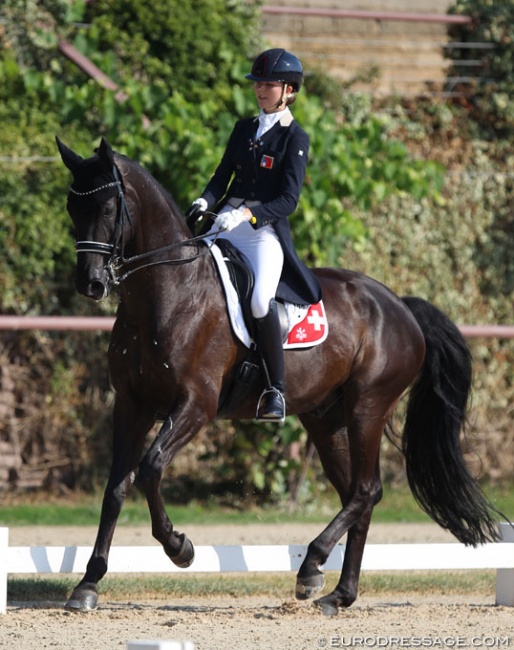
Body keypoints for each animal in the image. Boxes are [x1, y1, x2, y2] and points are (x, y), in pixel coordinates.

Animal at [56, 135, 500, 612]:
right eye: (71, 206)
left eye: (107, 208)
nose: (91, 283)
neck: (169, 293)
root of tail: (400, 305)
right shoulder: (131, 405)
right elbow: (116, 488)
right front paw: (88, 584)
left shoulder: (195, 406)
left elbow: (151, 468)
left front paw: (180, 548)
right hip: (326, 419)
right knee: (357, 494)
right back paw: (337, 592)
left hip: (368, 408)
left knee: (367, 489)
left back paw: (312, 567)